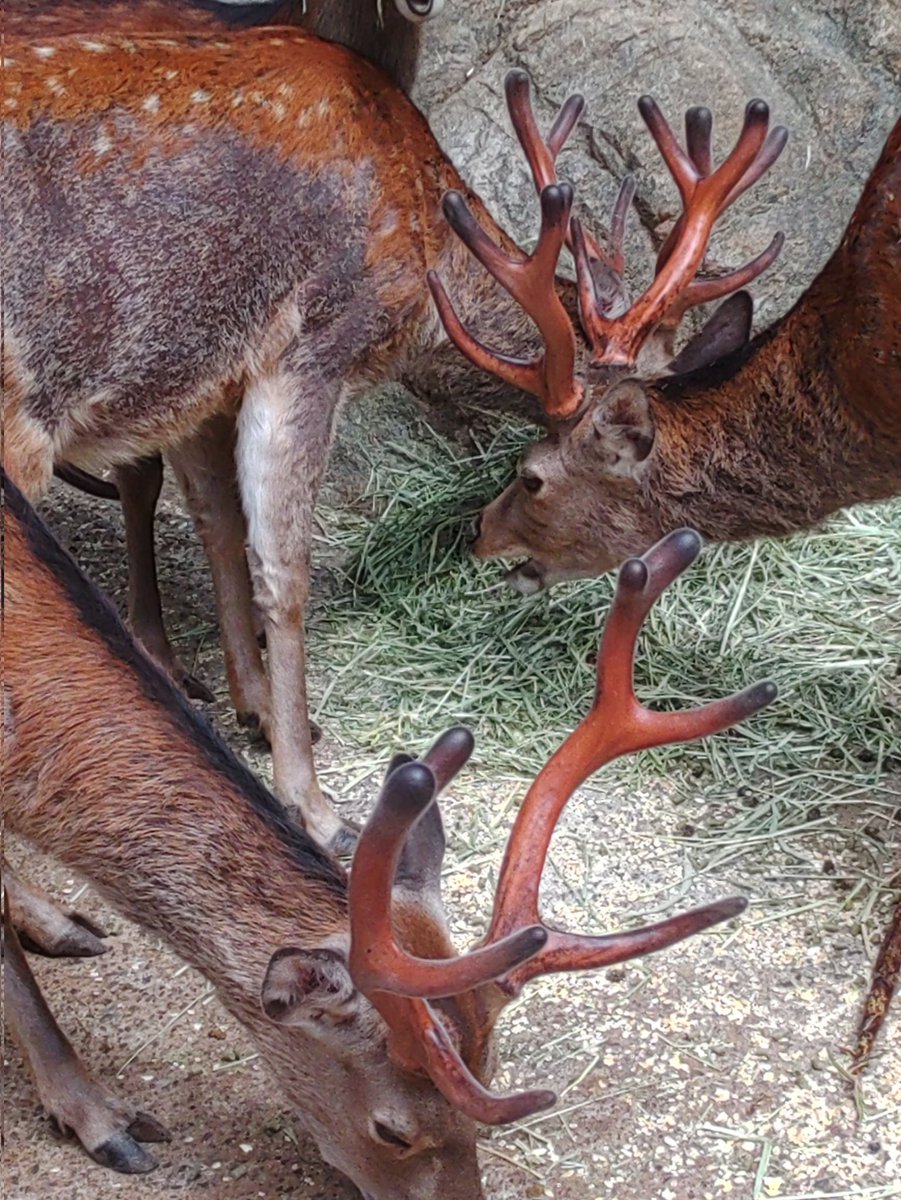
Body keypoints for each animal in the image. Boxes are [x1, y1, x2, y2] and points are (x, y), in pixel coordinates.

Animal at [1, 29, 785, 852]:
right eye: (537, 474)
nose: (481, 541)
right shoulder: (311, 347)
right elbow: (284, 570)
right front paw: (313, 803)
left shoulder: (203, 380)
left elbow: (218, 522)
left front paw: (254, 710)